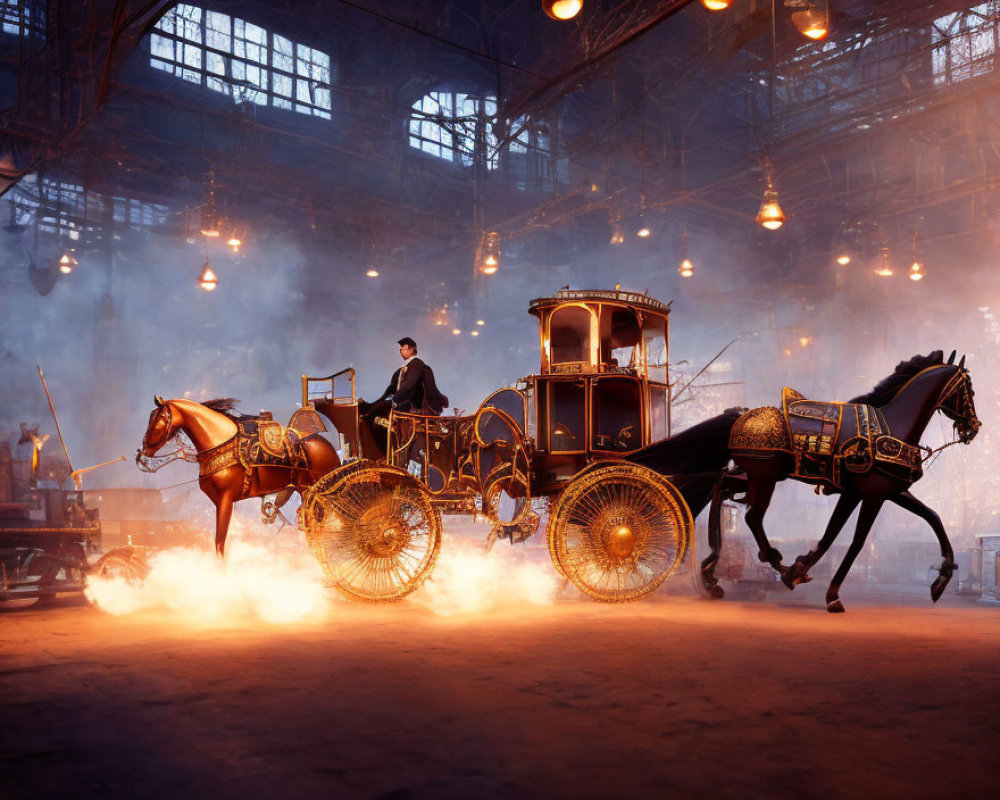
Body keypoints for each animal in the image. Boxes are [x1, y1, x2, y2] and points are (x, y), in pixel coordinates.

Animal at [137, 398, 342, 556]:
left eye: (160, 417)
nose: (143, 450)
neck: (221, 442)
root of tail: (327, 446)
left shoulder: (226, 500)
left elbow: (219, 541)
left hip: (313, 494)